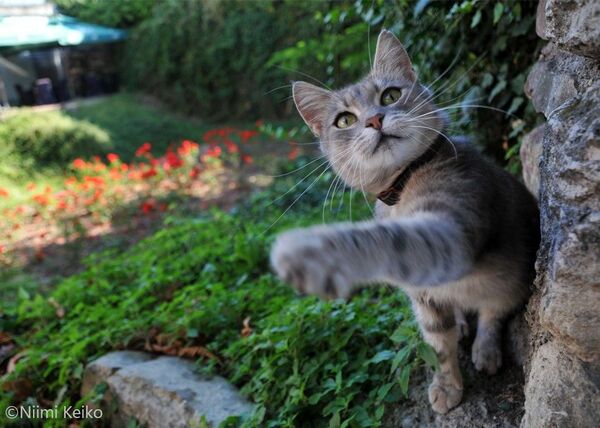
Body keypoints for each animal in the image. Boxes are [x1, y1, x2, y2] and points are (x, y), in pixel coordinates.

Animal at [270, 30, 539, 414]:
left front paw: (311, 251)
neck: (403, 186)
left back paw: (485, 348)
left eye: (391, 95)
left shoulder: (452, 225)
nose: (374, 120)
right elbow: (438, 344)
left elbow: (385, 239)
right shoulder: (423, 294)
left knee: (493, 312)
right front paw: (447, 384)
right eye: (344, 120)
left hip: (511, 282)